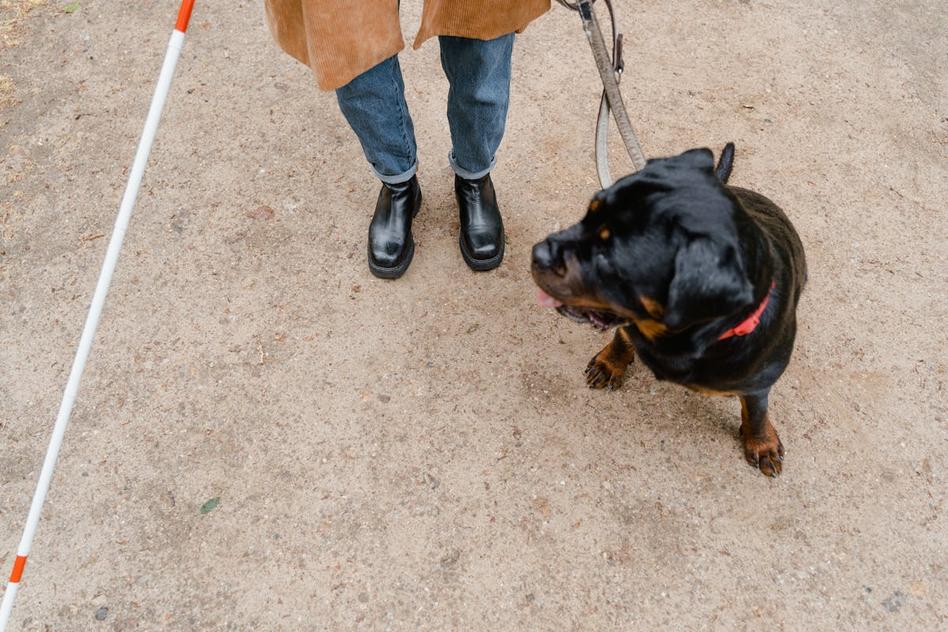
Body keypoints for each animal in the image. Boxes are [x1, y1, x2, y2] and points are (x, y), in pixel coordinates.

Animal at [532, 146, 808, 476]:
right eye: (586, 216)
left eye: (608, 258)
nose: (538, 252)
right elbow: (622, 337)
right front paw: (611, 363)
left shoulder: (759, 381)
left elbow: (756, 410)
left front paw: (761, 442)